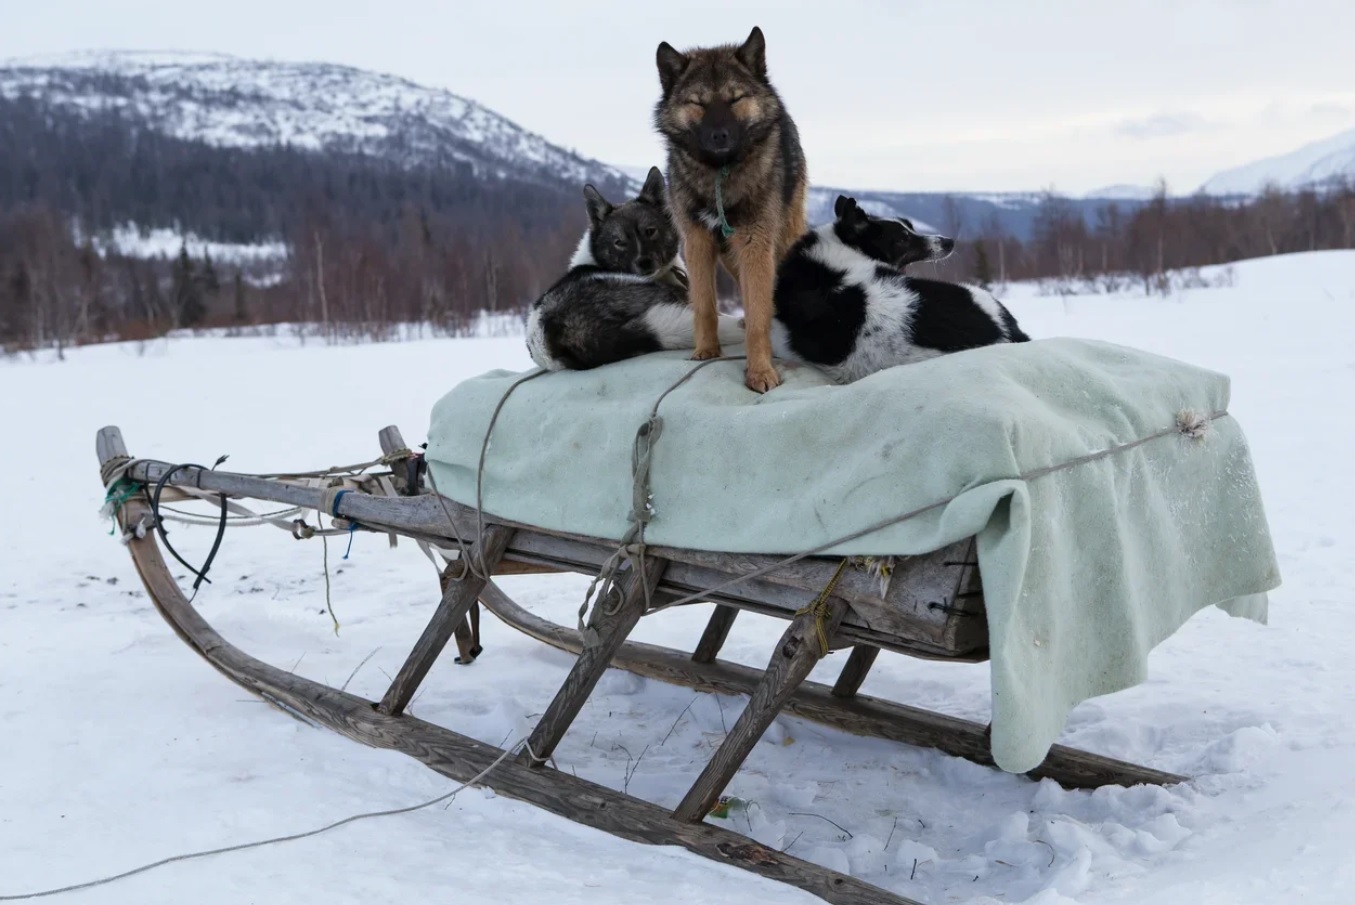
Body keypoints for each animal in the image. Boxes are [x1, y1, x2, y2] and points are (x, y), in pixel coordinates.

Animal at [653, 27, 802, 392]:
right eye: (698, 103)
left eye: (735, 99)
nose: (719, 135)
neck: (719, 174)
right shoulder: (697, 241)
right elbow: (704, 305)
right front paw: (705, 352)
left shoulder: (755, 243)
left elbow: (759, 315)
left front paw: (760, 371)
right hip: (729, 251)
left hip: (781, 239)